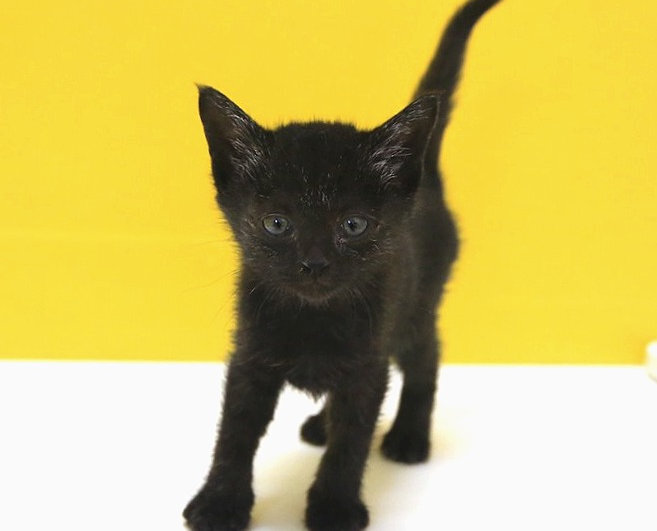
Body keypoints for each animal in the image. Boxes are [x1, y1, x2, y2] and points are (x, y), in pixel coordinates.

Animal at [183, 1, 501, 529]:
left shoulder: (368, 363)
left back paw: (409, 436)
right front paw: (220, 502)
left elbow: (351, 443)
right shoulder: (249, 357)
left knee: (426, 357)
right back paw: (319, 424)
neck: (314, 318)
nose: (313, 263)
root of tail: (426, 179)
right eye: (276, 224)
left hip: (416, 307)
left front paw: (333, 507)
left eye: (353, 225)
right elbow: (234, 434)